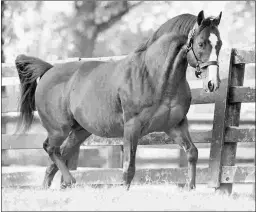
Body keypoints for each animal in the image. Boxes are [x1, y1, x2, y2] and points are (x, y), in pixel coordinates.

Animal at [15, 9, 222, 189]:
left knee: (58, 156)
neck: (154, 77)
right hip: (59, 129)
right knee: (50, 148)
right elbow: (129, 167)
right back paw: (70, 181)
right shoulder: (132, 126)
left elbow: (192, 153)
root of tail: (49, 70)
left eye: (219, 43)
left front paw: (191, 187)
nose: (213, 83)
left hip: (79, 131)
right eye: (201, 43)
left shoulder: (175, 125)